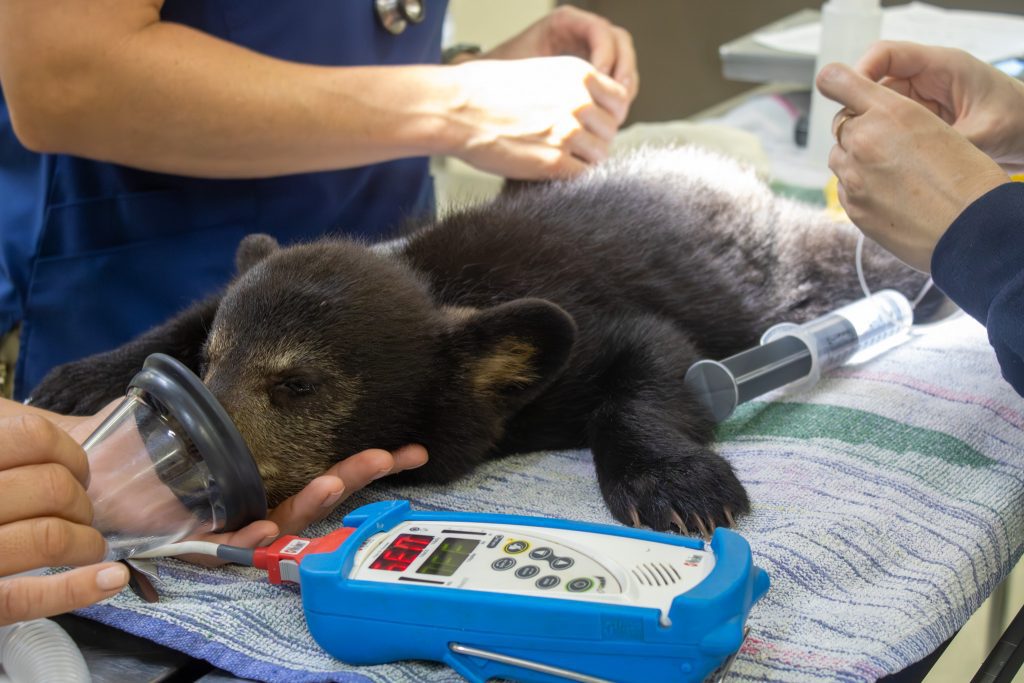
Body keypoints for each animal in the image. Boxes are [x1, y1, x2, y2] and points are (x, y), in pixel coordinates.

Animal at [30, 146, 942, 534]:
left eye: (296, 385)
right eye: (212, 363)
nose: (172, 453)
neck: (441, 284)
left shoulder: (581, 326)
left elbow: (657, 357)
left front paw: (677, 482)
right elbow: (201, 302)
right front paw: (84, 374)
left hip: (803, 264)